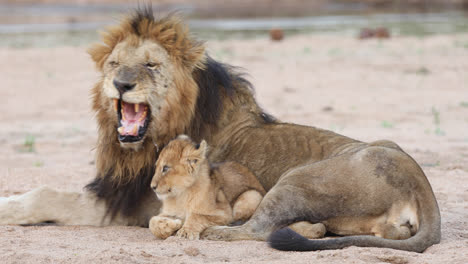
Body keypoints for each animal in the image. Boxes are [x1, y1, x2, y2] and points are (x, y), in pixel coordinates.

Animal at [0, 7, 438, 253]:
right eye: (114, 64)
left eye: (150, 65)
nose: (121, 84)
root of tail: (420, 184)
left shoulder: (132, 204)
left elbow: (45, 195)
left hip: (295, 180)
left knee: (257, 228)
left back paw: (218, 234)